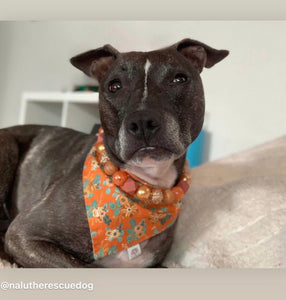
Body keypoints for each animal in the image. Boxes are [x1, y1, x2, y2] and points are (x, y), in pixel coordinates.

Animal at [0, 38, 228, 268]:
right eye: (114, 86)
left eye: (179, 79)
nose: (142, 121)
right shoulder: (24, 234)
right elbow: (80, 265)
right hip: (7, 144)